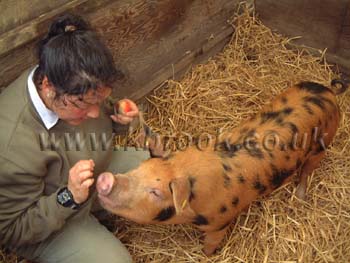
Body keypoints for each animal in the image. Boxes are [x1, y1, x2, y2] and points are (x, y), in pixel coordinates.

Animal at [95, 80, 348, 256]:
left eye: (156, 192)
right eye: (138, 169)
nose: (106, 180)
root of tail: (329, 92)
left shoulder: (221, 222)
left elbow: (211, 243)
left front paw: (205, 255)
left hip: (323, 144)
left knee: (307, 171)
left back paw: (300, 196)